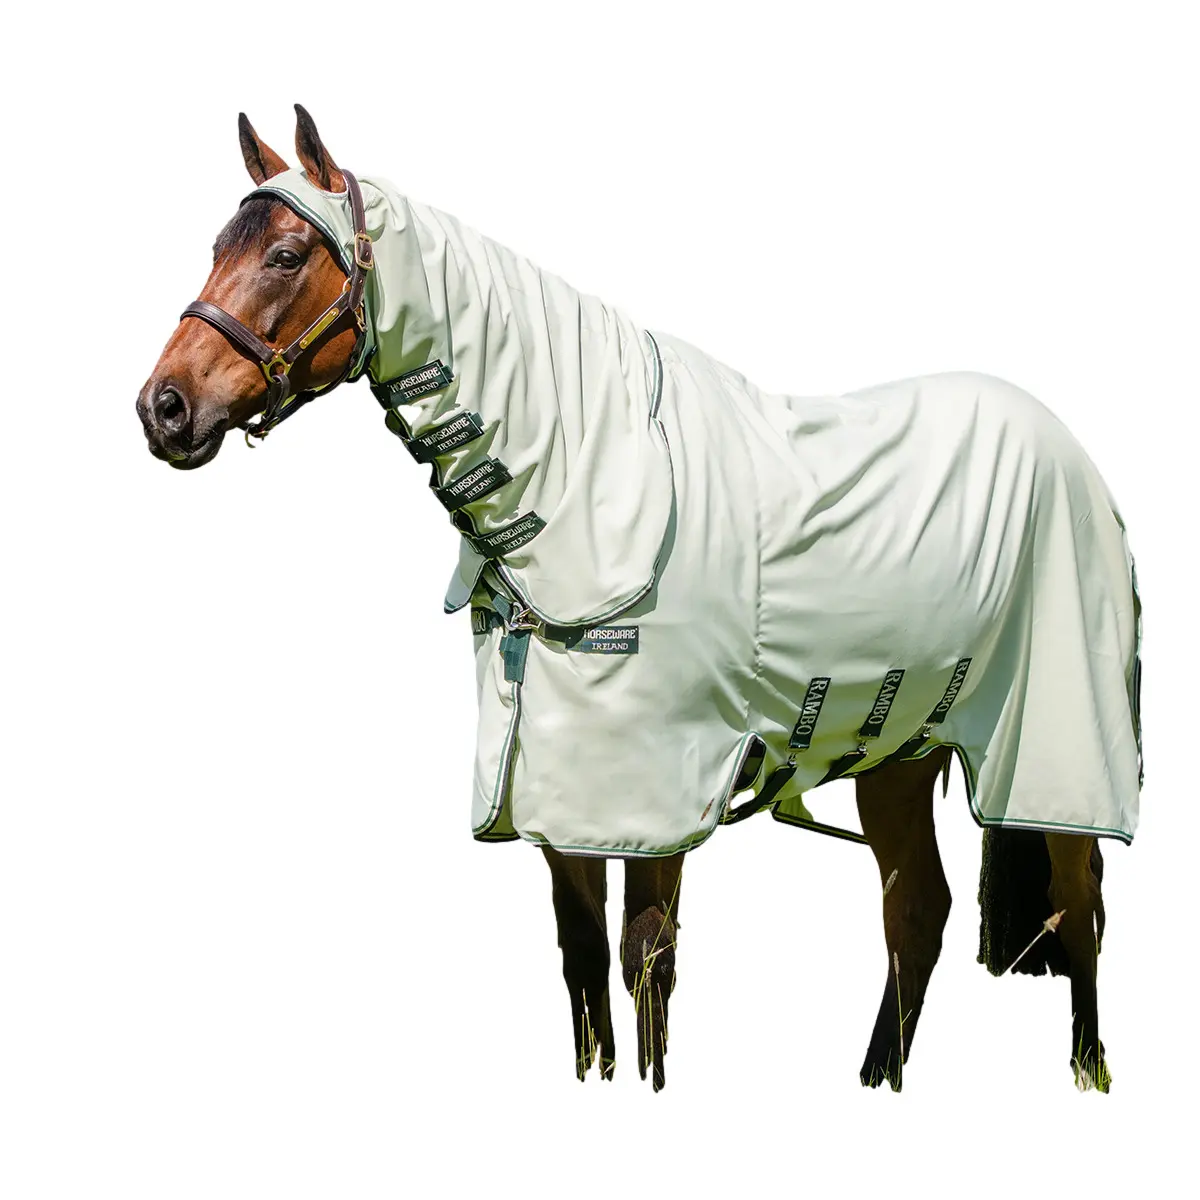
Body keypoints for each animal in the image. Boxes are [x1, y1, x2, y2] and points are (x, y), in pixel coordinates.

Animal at [137, 106, 1141, 1093]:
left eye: (285, 255)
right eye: (217, 246)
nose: (164, 408)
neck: (586, 483)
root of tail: (1076, 458)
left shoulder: (657, 802)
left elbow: (644, 961)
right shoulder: (554, 797)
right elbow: (582, 964)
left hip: (1055, 749)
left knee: (1079, 906)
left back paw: (1088, 1071)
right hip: (897, 748)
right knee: (917, 913)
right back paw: (877, 1080)